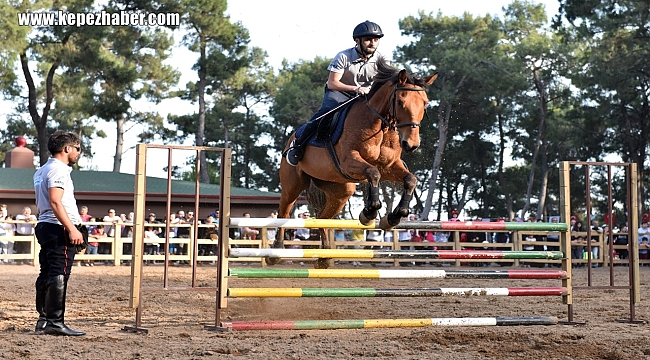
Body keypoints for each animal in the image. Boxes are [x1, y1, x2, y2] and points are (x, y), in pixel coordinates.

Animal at [270, 59, 438, 268]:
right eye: (400, 101)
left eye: (425, 103)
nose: (411, 144)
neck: (380, 126)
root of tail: (290, 140)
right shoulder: (350, 161)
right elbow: (373, 173)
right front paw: (368, 213)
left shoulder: (389, 166)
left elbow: (410, 179)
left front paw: (393, 217)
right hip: (293, 185)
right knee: (283, 213)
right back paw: (275, 253)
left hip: (341, 190)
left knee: (322, 218)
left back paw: (324, 258)